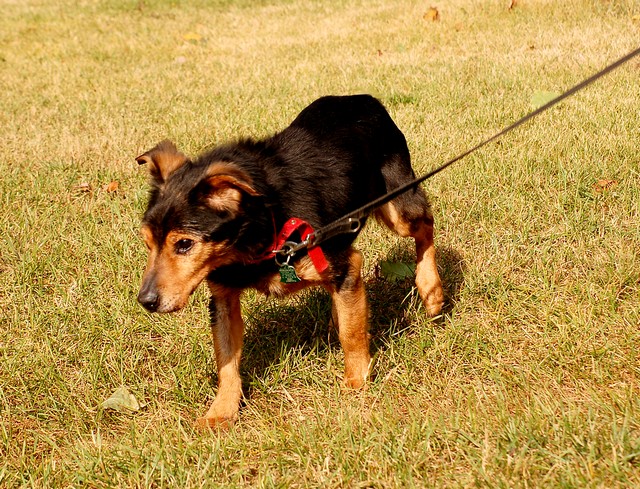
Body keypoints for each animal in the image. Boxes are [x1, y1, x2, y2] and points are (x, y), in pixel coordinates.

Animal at [136, 95, 444, 427]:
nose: (146, 301)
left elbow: (352, 334)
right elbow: (226, 361)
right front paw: (221, 412)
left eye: (184, 244)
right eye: (147, 243)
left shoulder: (345, 264)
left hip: (398, 204)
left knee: (426, 225)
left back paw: (431, 290)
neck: (259, 231)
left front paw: (356, 382)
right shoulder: (222, 296)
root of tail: (363, 98)